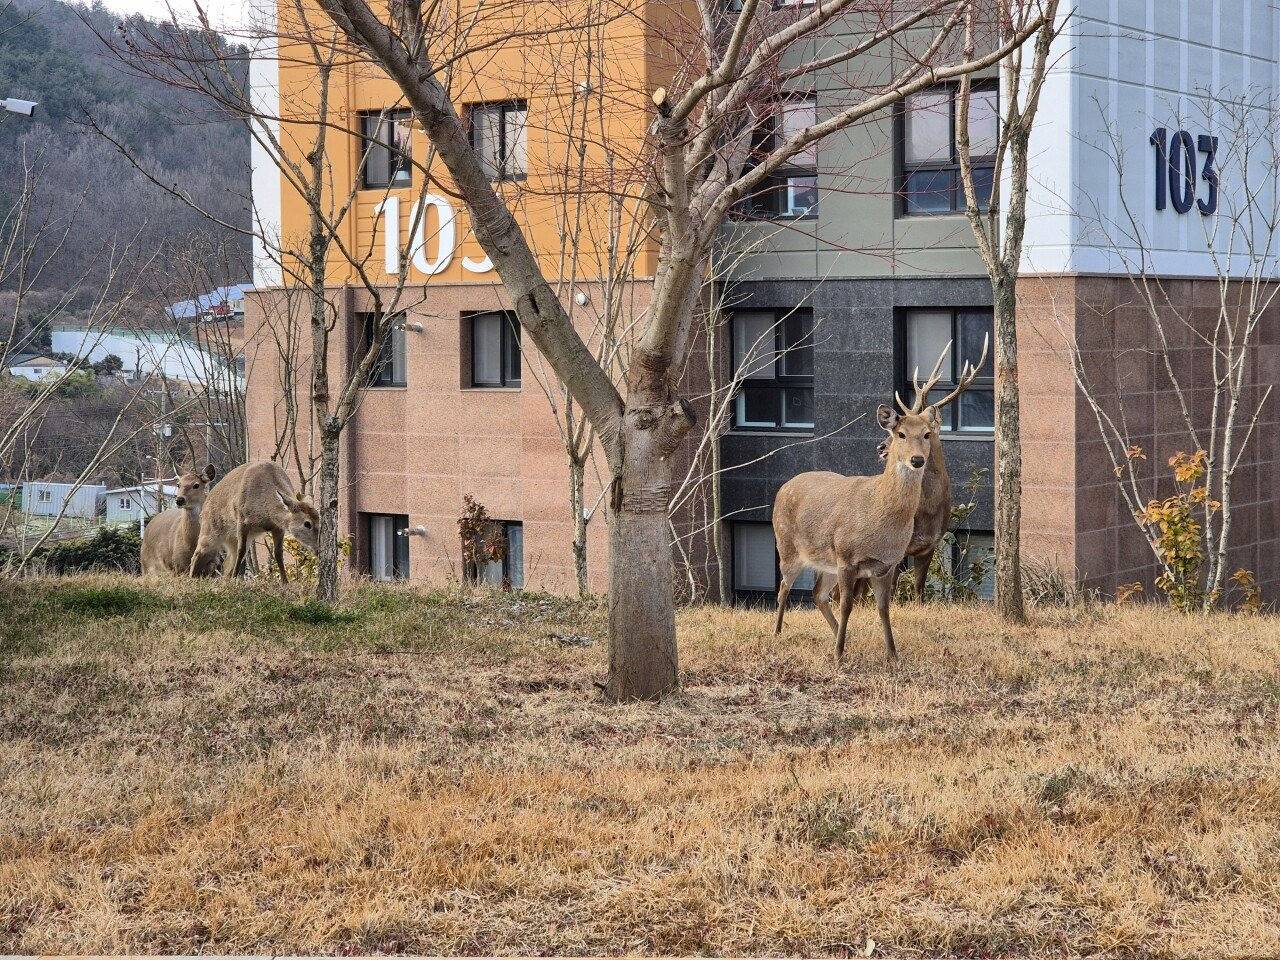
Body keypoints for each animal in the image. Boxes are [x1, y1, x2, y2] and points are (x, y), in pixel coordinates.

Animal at [188, 463, 320, 583]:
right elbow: (241, 552)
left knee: (227, 561)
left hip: (233, 538)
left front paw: (285, 582)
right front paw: (235, 578)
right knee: (197, 552)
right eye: (307, 524)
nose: (318, 549)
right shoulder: (242, 521)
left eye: (319, 519)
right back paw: (191, 577)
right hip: (210, 527)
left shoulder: (278, 527)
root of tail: (206, 503)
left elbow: (278, 554)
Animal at [768, 404, 942, 660]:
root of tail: (783, 487)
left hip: (827, 562)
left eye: (927, 434)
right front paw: (838, 655)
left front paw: (892, 654)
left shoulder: (887, 564)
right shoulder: (847, 558)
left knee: (818, 594)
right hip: (788, 546)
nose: (917, 459)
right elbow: (846, 605)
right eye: (900, 434)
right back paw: (778, 632)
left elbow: (883, 608)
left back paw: (841, 637)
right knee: (783, 588)